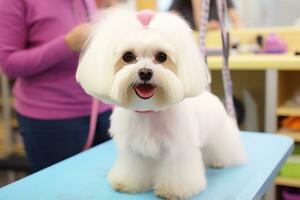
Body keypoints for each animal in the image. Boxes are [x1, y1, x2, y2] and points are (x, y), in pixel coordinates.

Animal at [76, 9, 247, 198]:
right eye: (127, 56)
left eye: (162, 56)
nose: (145, 72)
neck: (149, 111)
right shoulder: (132, 150)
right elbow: (133, 167)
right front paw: (128, 184)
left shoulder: (177, 150)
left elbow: (177, 172)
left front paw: (173, 190)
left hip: (219, 132)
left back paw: (219, 161)